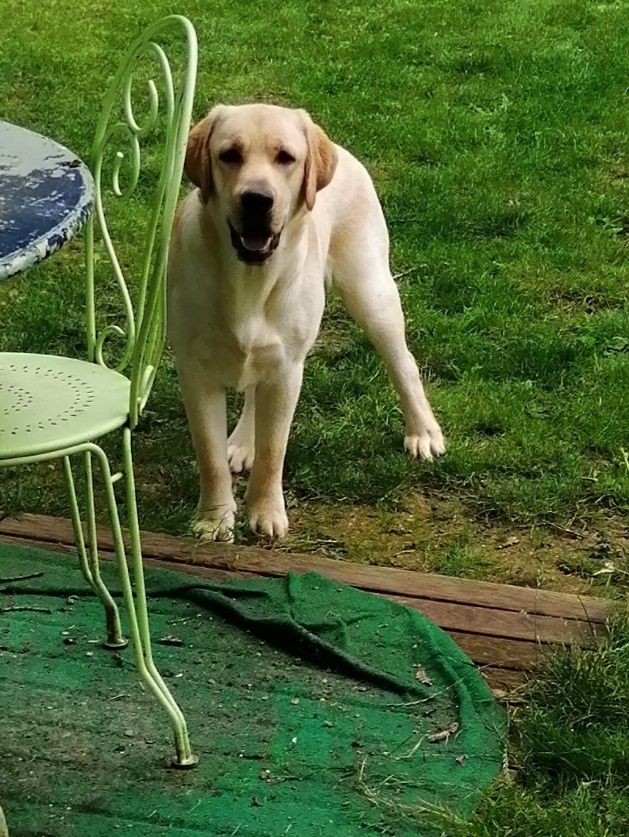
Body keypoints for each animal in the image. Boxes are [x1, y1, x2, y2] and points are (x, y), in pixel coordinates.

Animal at [167, 104, 442, 544]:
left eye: (286, 157)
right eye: (229, 155)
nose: (257, 200)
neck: (250, 280)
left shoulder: (286, 371)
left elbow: (273, 451)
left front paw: (265, 514)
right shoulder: (196, 372)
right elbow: (209, 456)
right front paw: (214, 519)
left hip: (372, 293)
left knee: (404, 365)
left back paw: (424, 432)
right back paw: (241, 442)